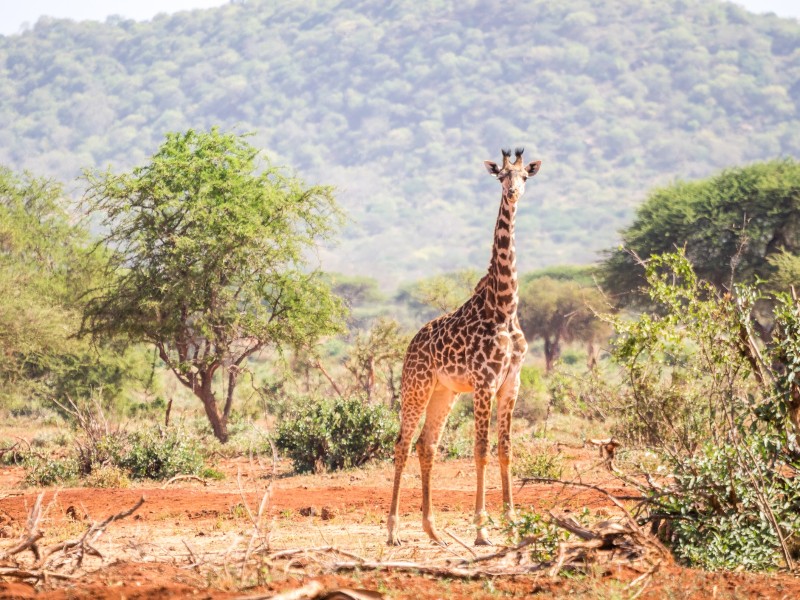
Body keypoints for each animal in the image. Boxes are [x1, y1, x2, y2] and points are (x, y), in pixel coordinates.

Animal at [387, 148, 541, 546]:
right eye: (501, 175)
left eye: (525, 176)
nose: (513, 193)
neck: (504, 306)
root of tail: (411, 343)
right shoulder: (485, 383)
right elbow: (481, 450)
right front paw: (482, 530)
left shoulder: (510, 383)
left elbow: (506, 450)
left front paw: (512, 522)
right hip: (416, 387)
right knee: (402, 443)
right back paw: (392, 531)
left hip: (446, 392)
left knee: (427, 445)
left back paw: (432, 530)